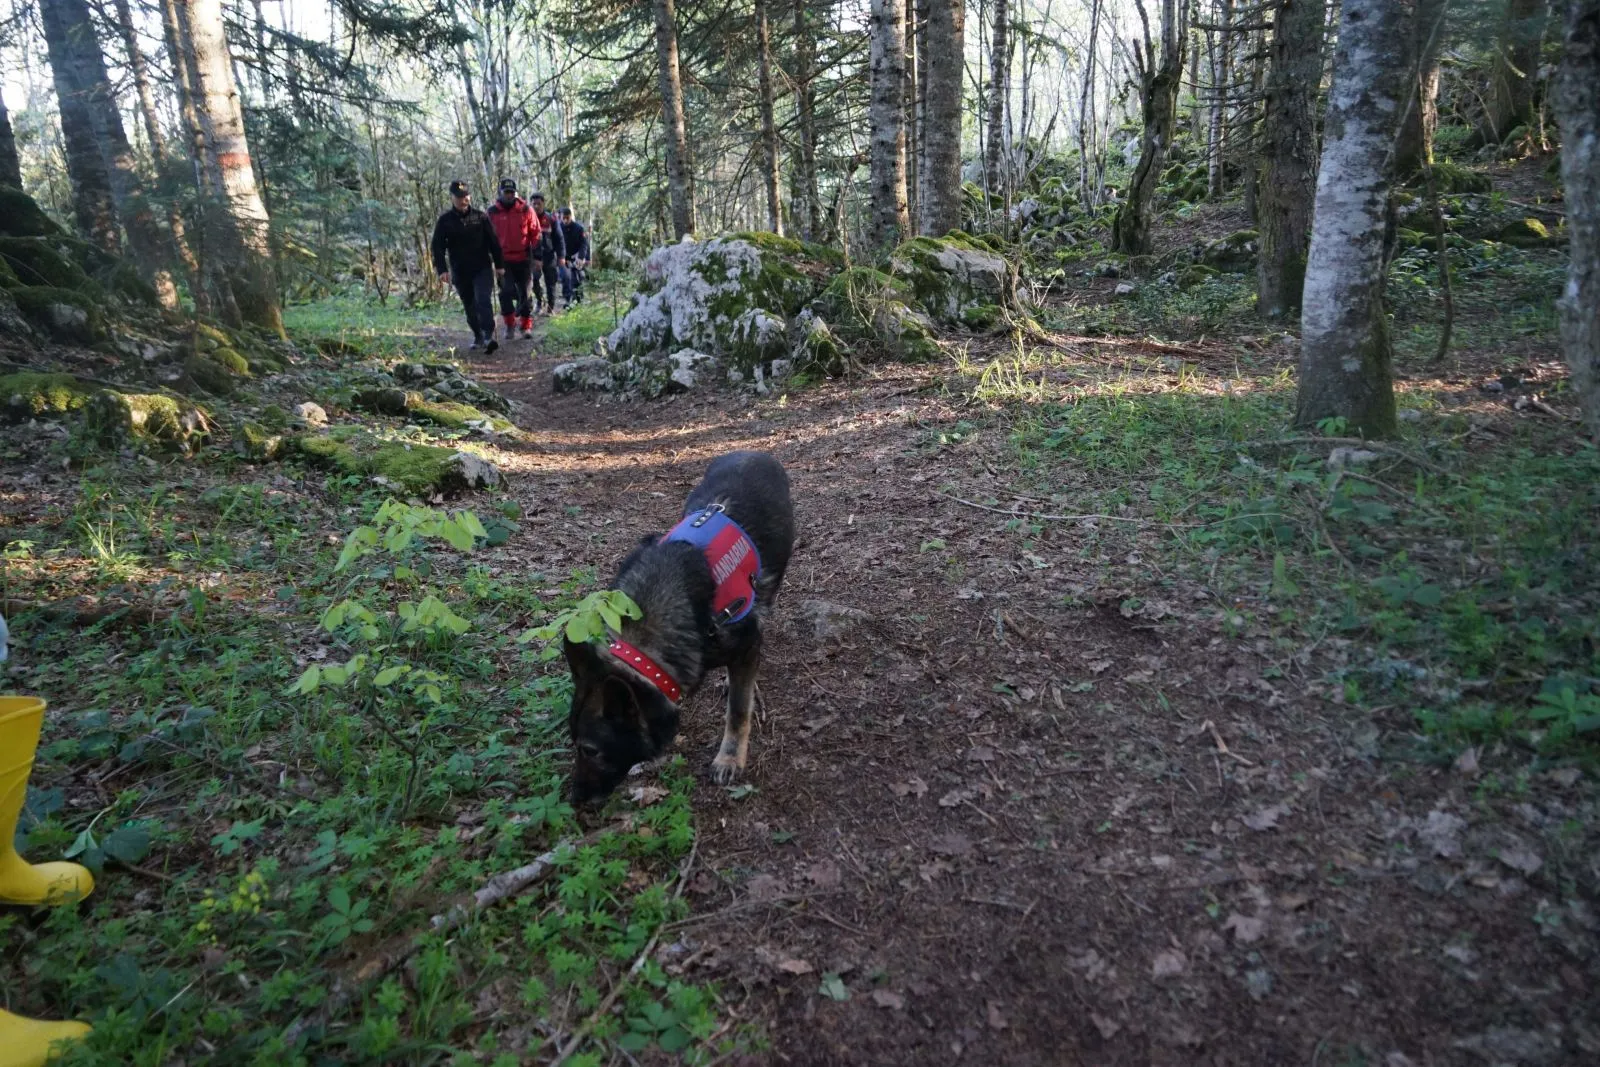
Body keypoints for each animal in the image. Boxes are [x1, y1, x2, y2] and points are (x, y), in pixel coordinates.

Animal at [563, 447, 793, 806]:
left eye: (591, 751)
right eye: (574, 743)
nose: (574, 801)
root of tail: (752, 451)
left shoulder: (747, 642)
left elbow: (738, 711)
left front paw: (729, 757)